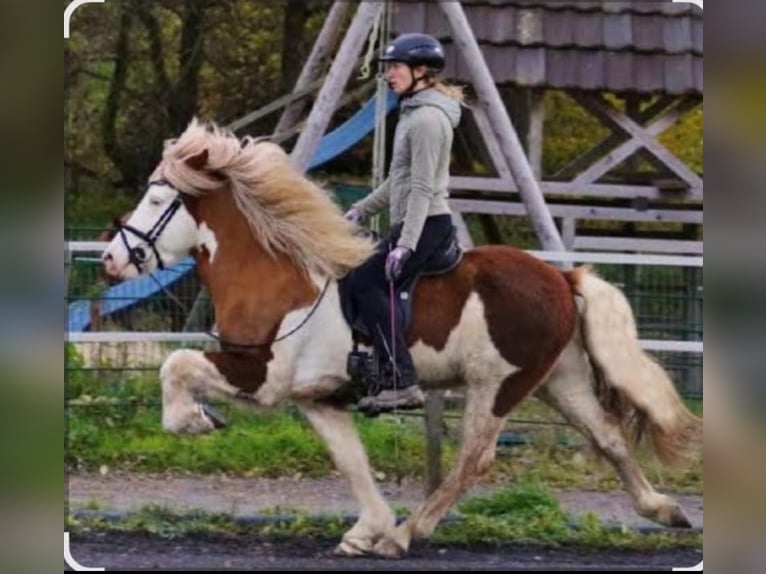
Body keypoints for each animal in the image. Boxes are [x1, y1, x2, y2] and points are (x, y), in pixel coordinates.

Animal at [101, 119, 702, 558]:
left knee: (474, 459)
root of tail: (562, 277)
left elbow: (176, 364)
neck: (276, 275)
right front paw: (364, 529)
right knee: (610, 437)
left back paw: (408, 533)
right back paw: (665, 510)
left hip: (498, 385)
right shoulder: (316, 397)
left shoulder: (261, 375)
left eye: (156, 200)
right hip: (561, 380)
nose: (109, 259)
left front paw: (194, 420)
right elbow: (352, 462)